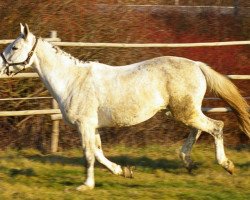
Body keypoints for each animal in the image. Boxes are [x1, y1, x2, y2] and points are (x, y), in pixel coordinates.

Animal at [0, 24, 250, 190]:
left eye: (15, 47)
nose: (1, 68)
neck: (72, 81)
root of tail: (197, 65)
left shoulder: (85, 125)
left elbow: (88, 154)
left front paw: (86, 185)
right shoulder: (93, 127)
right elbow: (98, 153)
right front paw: (125, 172)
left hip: (185, 112)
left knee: (216, 126)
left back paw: (227, 165)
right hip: (182, 112)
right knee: (199, 130)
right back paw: (188, 163)